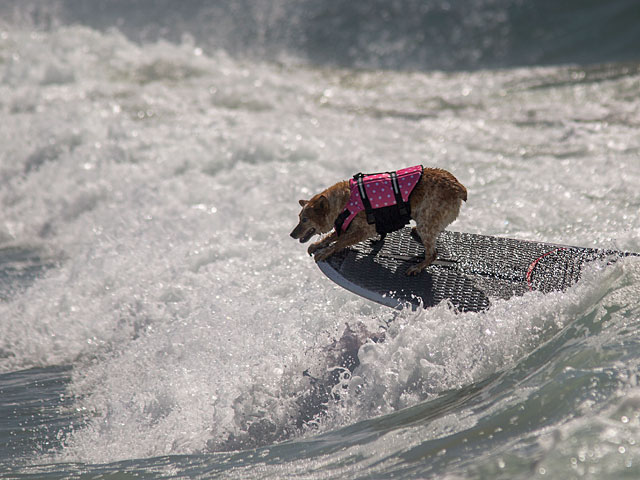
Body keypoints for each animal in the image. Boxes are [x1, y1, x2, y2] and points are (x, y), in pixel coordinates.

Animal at [290, 167, 464, 276]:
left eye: (305, 219)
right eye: (299, 217)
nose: (291, 234)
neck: (345, 202)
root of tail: (459, 188)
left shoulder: (364, 230)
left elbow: (339, 242)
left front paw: (325, 251)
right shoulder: (346, 226)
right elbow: (332, 236)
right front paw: (317, 245)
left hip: (426, 222)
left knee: (433, 254)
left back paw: (416, 267)